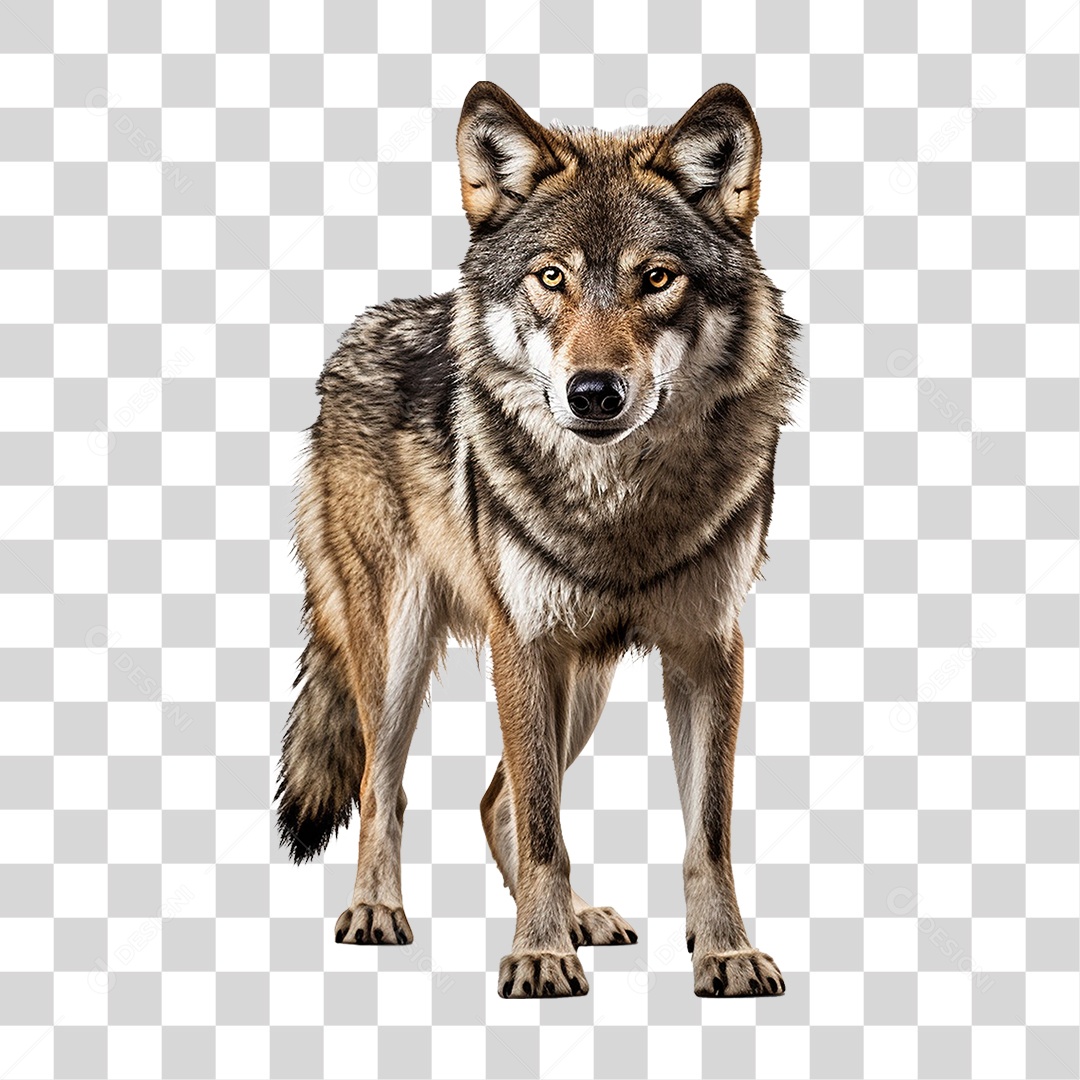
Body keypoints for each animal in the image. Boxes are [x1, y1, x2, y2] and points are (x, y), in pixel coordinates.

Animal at [276, 81, 801, 999]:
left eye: (656, 278)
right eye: (550, 278)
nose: (592, 392)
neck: (619, 506)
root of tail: (351, 344)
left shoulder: (707, 648)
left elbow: (707, 833)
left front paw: (725, 952)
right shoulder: (520, 642)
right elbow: (544, 823)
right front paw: (539, 956)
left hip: (580, 681)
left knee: (496, 800)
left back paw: (581, 917)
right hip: (404, 652)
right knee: (387, 788)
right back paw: (378, 911)